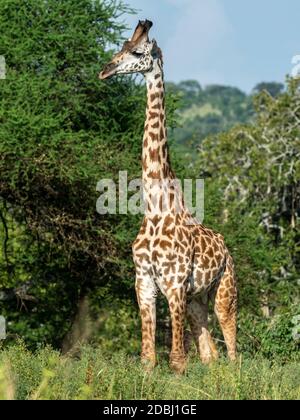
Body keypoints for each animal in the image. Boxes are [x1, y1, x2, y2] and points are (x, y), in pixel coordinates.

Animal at [99, 19, 238, 374]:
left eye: (138, 52)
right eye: (121, 47)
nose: (106, 70)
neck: (155, 209)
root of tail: (227, 249)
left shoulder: (174, 283)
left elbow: (176, 361)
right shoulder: (144, 281)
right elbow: (148, 359)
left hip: (224, 292)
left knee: (233, 350)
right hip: (196, 301)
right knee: (211, 354)